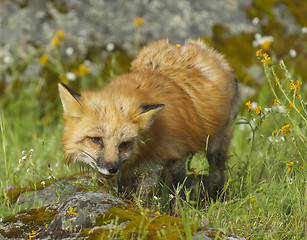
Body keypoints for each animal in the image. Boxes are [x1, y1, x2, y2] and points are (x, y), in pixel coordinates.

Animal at [59, 39, 242, 200]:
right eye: (96, 139)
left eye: (124, 144)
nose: (112, 168)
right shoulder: (128, 168)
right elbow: (128, 194)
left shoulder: (176, 155)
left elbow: (176, 197)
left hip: (217, 145)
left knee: (217, 174)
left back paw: (216, 197)